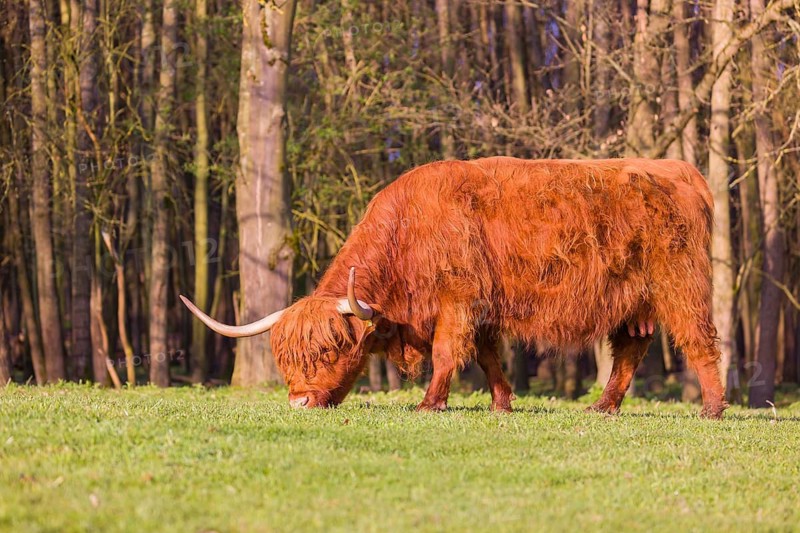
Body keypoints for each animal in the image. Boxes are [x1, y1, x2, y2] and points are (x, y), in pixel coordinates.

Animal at [182, 157, 728, 419]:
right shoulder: (481, 309)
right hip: (633, 302)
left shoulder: (458, 300)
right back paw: (603, 407)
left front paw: (430, 403)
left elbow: (448, 353)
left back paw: (712, 410)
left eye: (333, 349)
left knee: (700, 343)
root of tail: (681, 170)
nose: (299, 403)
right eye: (286, 358)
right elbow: (488, 358)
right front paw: (503, 404)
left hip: (681, 284)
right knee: (631, 350)